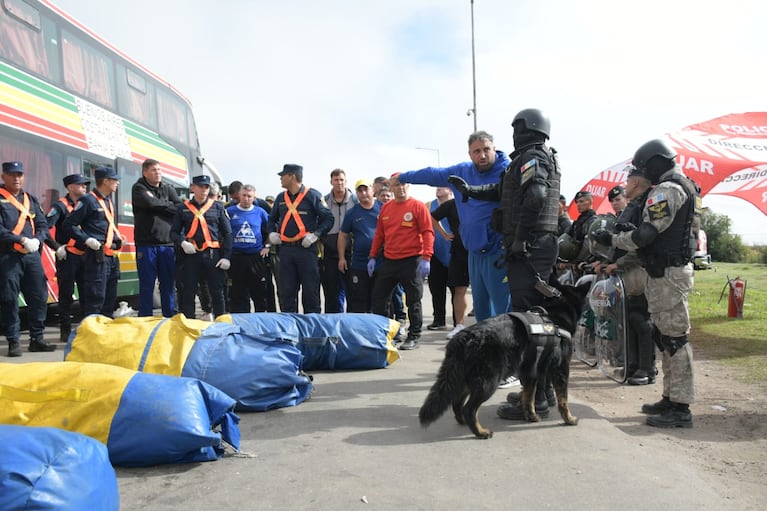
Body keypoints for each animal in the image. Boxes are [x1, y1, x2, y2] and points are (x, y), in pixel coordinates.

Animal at [420, 282, 588, 438]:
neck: (556, 314)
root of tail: (466, 337)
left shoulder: (530, 371)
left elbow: (528, 397)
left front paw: (531, 416)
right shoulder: (561, 370)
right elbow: (563, 399)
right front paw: (569, 419)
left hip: (467, 378)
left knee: (457, 403)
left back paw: (463, 422)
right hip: (488, 382)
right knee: (469, 409)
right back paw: (480, 432)